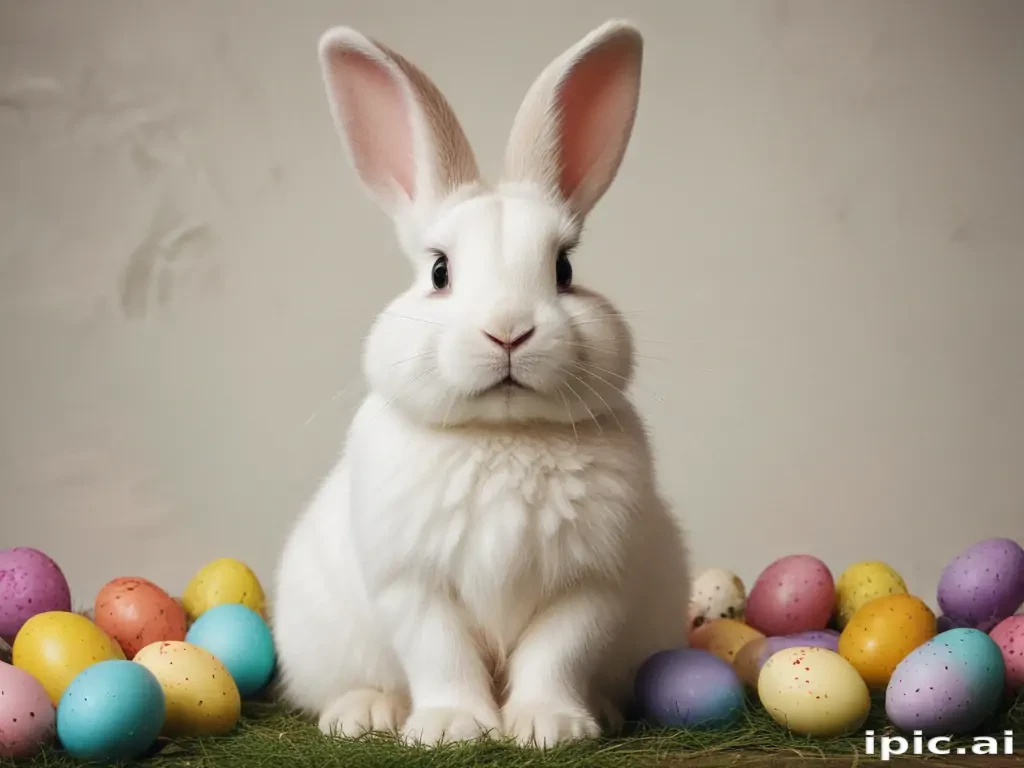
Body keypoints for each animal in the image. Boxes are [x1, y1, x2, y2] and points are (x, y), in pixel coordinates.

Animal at [272, 19, 691, 748]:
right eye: (439, 271)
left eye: (564, 268)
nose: (509, 331)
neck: (503, 435)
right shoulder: (413, 585)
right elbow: (440, 655)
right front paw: (451, 728)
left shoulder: (590, 586)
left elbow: (558, 654)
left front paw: (551, 727)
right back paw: (365, 713)